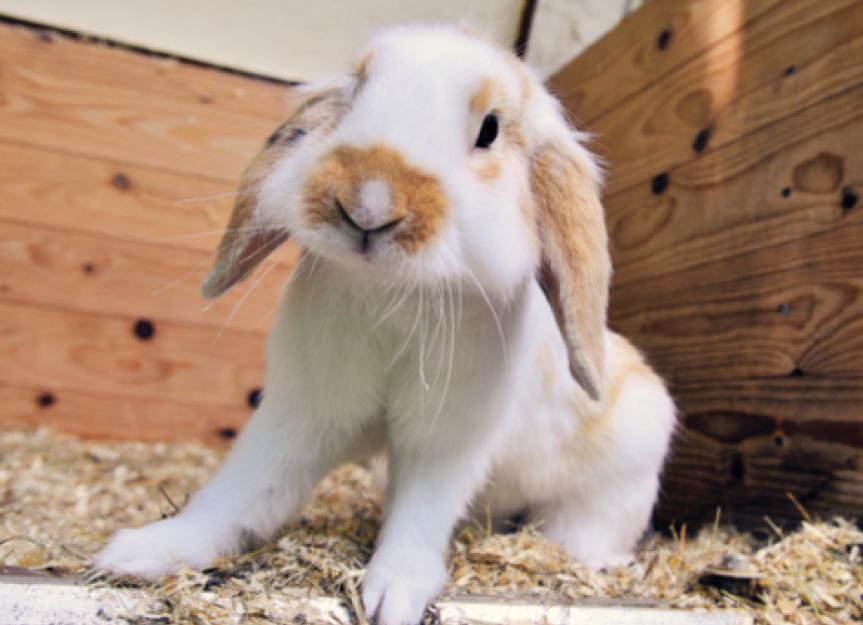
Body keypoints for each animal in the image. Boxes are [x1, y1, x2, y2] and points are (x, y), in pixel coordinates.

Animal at [95, 24, 676, 625]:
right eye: (357, 92)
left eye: (490, 129)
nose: (368, 203)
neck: (391, 295)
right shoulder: (302, 413)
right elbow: (244, 486)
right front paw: (146, 551)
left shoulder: (445, 441)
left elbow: (420, 516)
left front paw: (392, 595)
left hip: (616, 481)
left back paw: (584, 556)